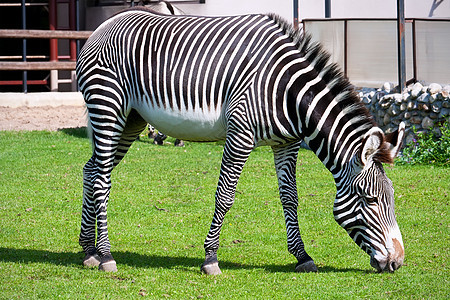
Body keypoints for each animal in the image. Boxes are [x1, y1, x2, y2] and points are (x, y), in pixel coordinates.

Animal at [75, 7, 406, 274]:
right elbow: (225, 195)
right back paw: (106, 256)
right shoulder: (240, 134)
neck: (288, 92)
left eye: (391, 198)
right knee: (101, 179)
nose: (397, 262)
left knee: (91, 171)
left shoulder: (286, 143)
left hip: (131, 120)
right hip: (108, 106)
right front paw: (210, 258)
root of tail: (102, 27)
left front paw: (302, 256)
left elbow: (290, 197)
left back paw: (88, 250)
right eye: (371, 200)